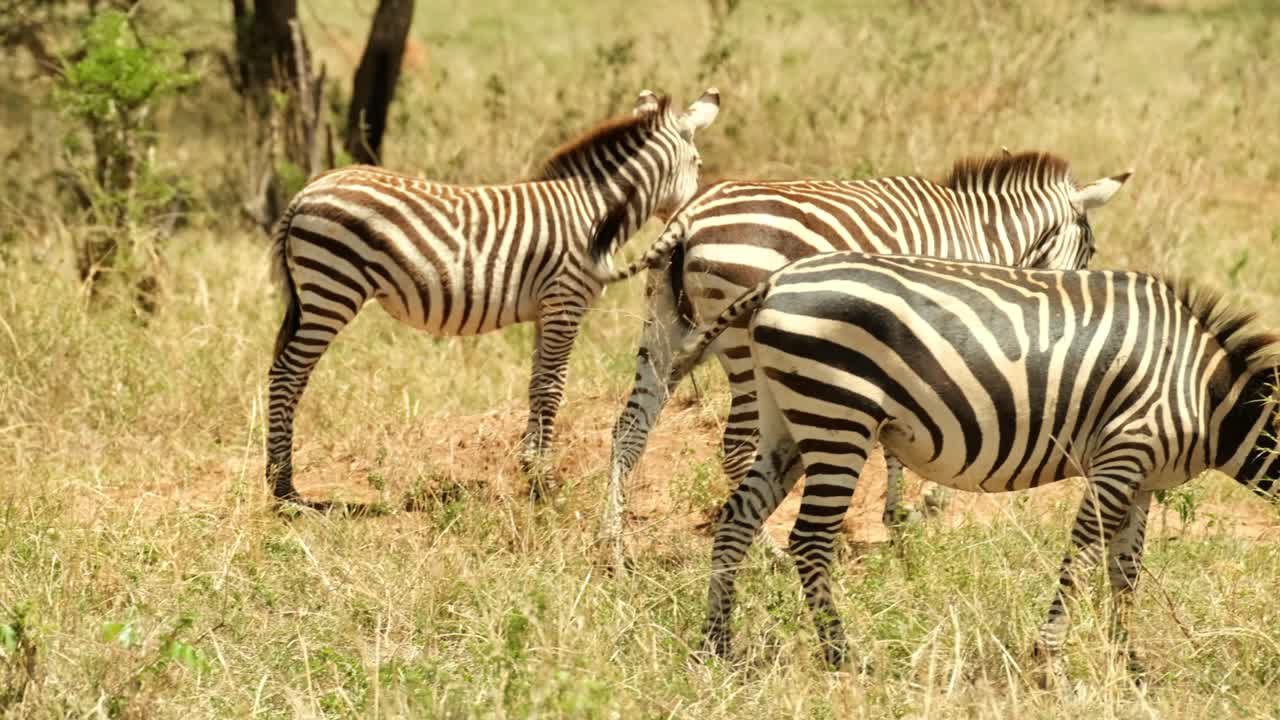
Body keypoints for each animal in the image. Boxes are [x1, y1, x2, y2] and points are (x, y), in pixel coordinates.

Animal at [265, 88, 720, 502]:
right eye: (698, 164)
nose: (696, 212)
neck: (593, 215)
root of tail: (306, 191)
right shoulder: (565, 302)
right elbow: (552, 387)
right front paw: (545, 483)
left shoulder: (546, 311)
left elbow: (537, 385)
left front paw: (531, 471)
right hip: (333, 287)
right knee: (288, 373)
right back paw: (284, 487)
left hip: (319, 293)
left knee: (287, 371)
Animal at [599, 151, 1132, 570]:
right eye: (1091, 248)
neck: (982, 234)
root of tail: (689, 216)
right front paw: (928, 502)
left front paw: (898, 515)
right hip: (739, 342)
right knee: (735, 447)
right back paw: (767, 549)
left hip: (664, 329)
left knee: (629, 430)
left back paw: (615, 548)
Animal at [666, 251, 1280, 681]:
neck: (1204, 392)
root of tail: (777, 281)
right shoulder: (1121, 455)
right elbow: (1083, 554)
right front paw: (1047, 661)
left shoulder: (1143, 478)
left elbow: (1124, 571)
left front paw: (1127, 667)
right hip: (837, 414)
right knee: (810, 539)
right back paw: (843, 657)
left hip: (788, 421)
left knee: (736, 522)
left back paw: (714, 648)